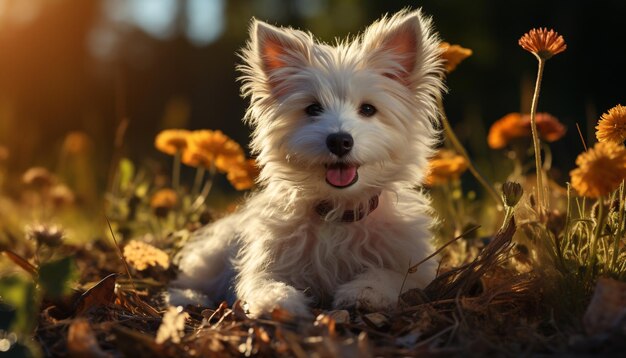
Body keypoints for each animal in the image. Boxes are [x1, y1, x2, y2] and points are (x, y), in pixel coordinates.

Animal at [171, 8, 444, 318]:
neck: (339, 213)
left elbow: (390, 274)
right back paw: (188, 297)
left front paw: (364, 292)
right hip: (213, 255)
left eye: (368, 109)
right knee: (190, 280)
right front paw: (278, 301)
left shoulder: (414, 265)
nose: (339, 141)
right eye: (313, 109)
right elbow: (261, 283)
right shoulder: (266, 262)